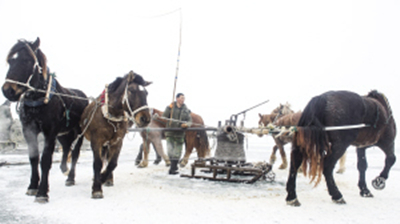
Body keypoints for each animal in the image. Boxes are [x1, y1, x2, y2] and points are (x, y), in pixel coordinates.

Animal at [1, 38, 88, 203]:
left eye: (28, 60)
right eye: (10, 61)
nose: (8, 90)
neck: (39, 100)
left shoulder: (50, 132)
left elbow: (45, 160)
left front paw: (42, 192)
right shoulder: (29, 130)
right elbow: (34, 158)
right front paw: (32, 186)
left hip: (78, 132)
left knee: (75, 153)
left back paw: (70, 177)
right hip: (63, 133)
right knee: (66, 147)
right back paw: (64, 169)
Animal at [79, 71, 152, 199]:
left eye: (146, 93)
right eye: (131, 90)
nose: (145, 118)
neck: (111, 116)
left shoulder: (117, 141)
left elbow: (112, 163)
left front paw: (103, 177)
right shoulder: (96, 141)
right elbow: (97, 163)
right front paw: (97, 188)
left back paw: (108, 179)